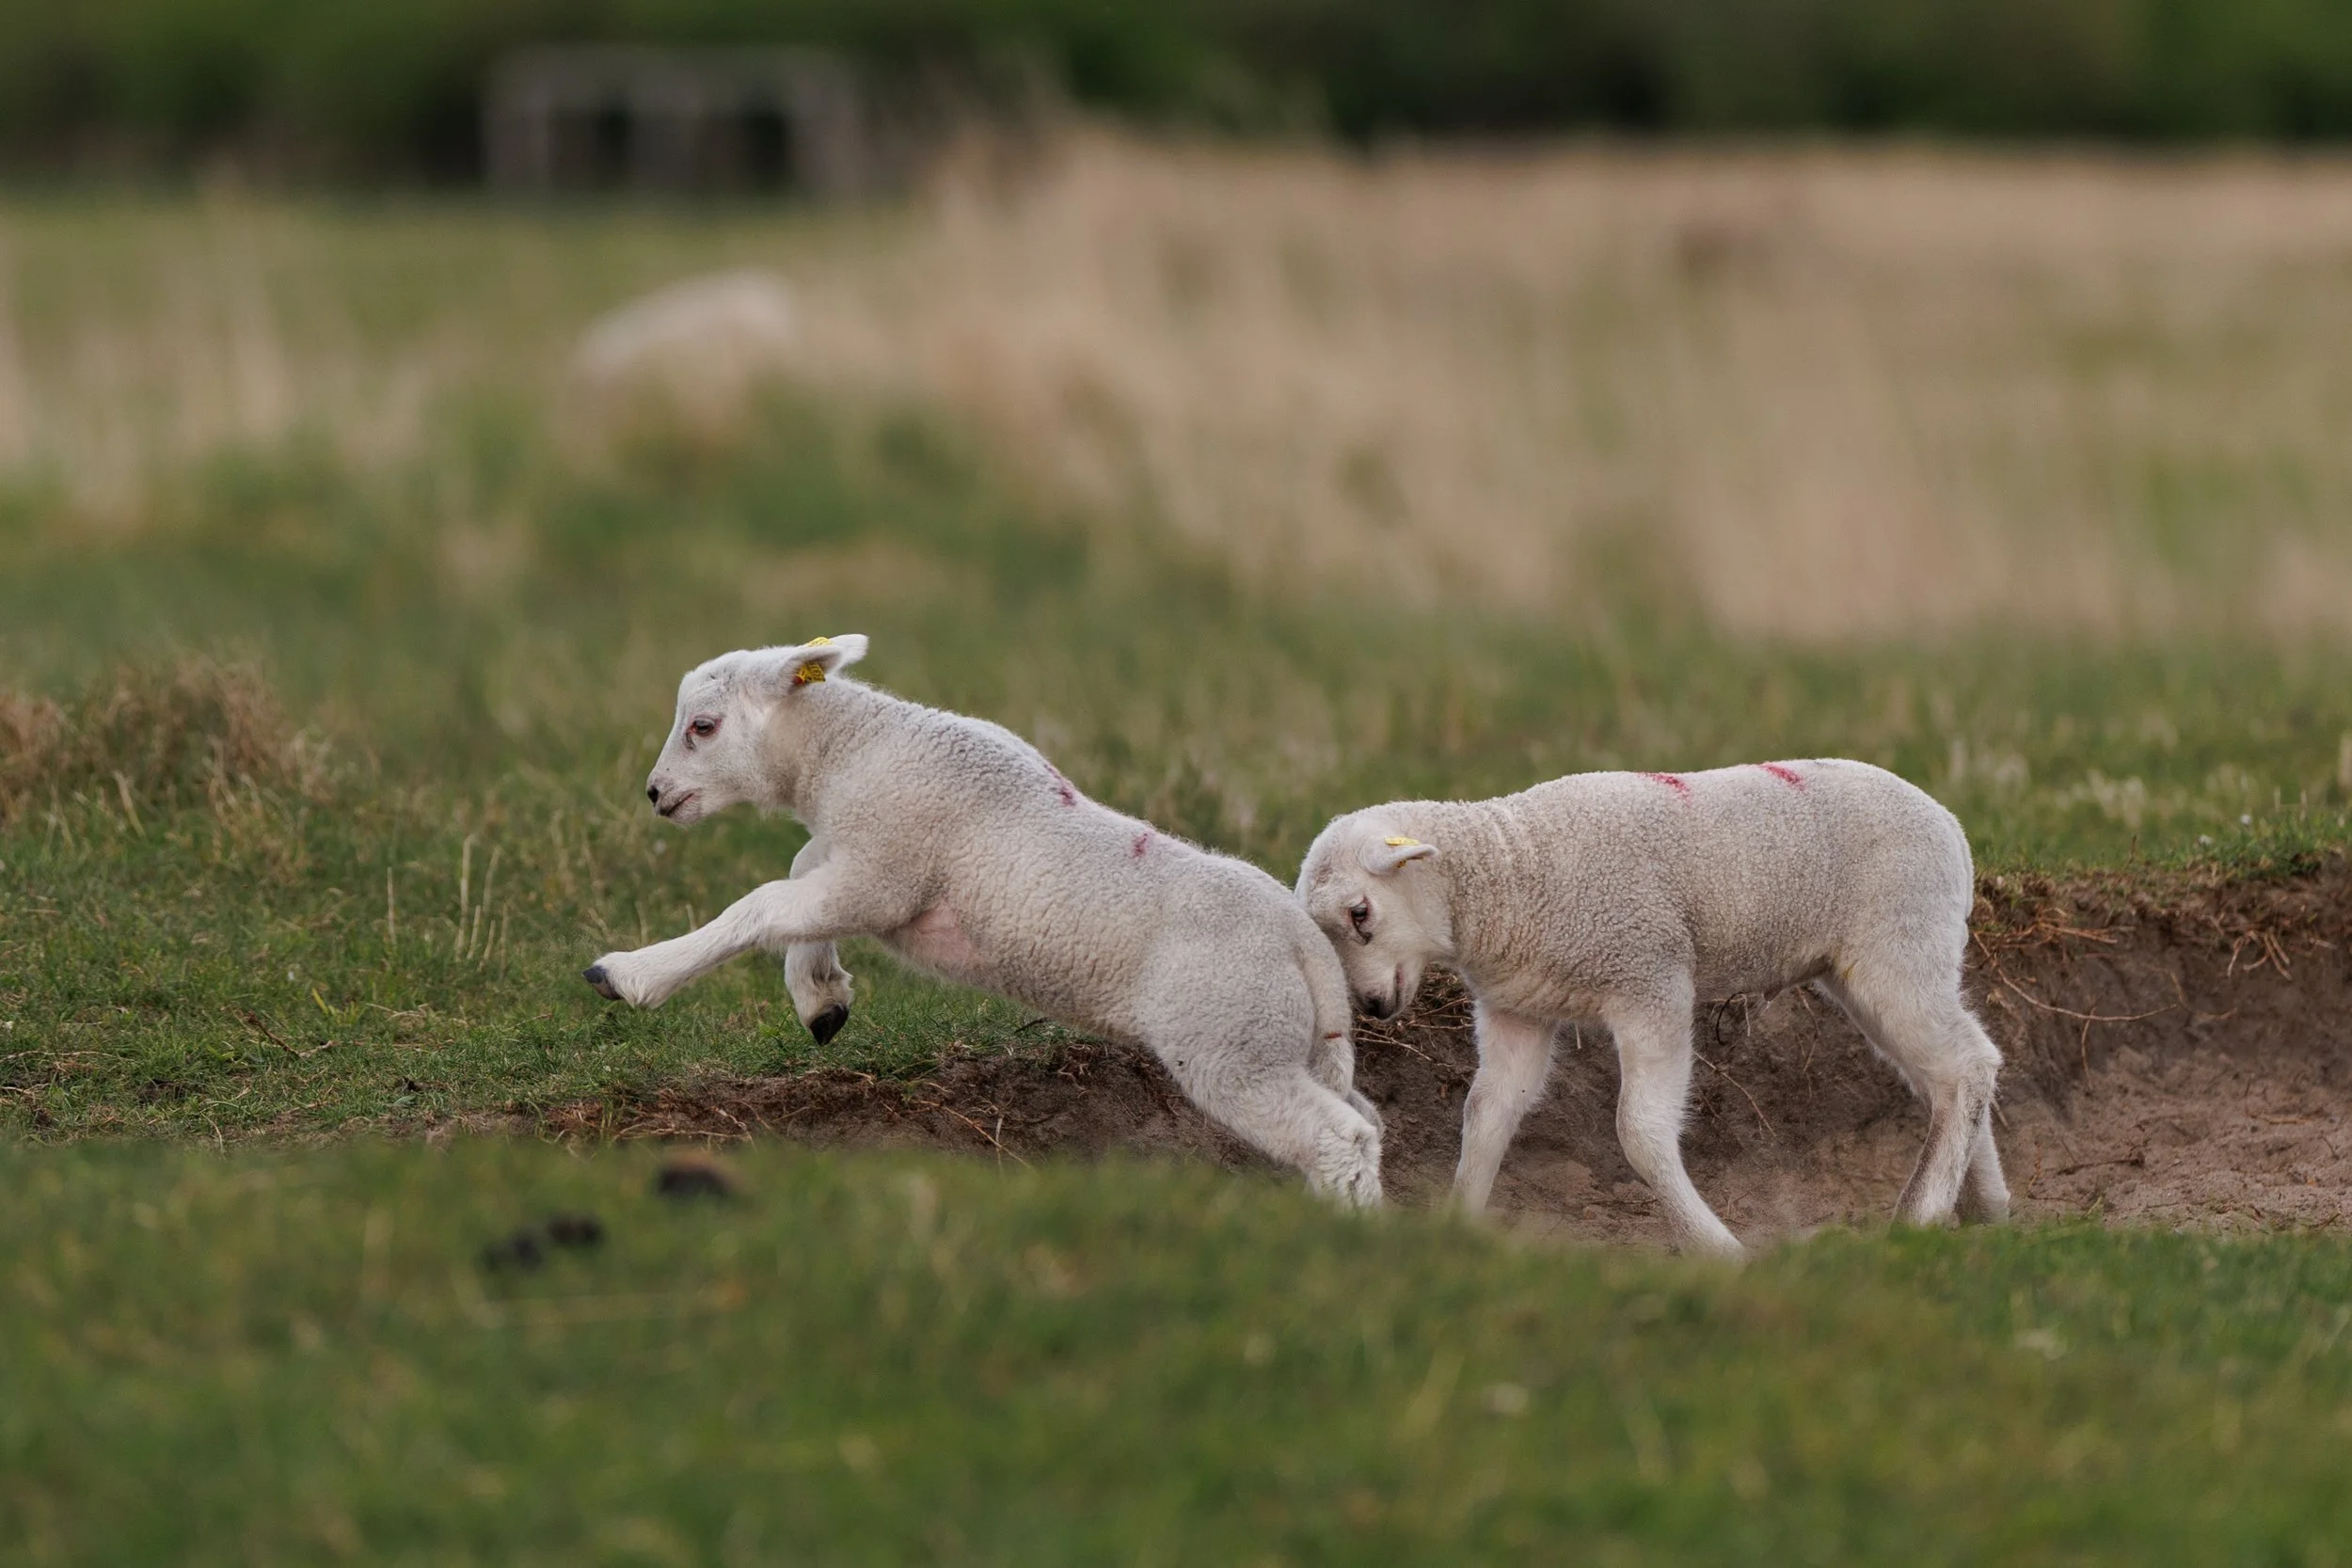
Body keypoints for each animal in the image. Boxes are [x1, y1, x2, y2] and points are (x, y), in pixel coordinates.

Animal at [580, 635, 1385, 1205]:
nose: (655, 793)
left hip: (1228, 1042)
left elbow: (764, 902)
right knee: (1368, 1121)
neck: (847, 753)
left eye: (703, 727)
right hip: (1290, 1042)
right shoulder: (862, 861)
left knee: (1339, 1137)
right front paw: (821, 996)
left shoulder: (888, 871)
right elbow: (799, 876)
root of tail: (1306, 946)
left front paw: (627, 973)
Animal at [1295, 759, 2007, 1257]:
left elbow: (1639, 1132)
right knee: (1952, 1073)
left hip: (1900, 944)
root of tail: (1953, 829)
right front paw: (1460, 1225)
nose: (1373, 1006)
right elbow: (1487, 1115)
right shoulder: (1520, 1011)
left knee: (1967, 1064)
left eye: (1360, 914)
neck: (1508, 878)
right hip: (1877, 967)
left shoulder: (1650, 982)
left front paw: (1717, 1248)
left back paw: (1923, 1213)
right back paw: (1987, 1206)